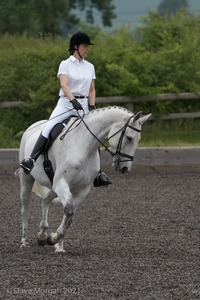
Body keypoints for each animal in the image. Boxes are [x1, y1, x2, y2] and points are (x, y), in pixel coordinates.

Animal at [18, 106, 151, 252]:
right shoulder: (61, 183)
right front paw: (53, 238)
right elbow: (68, 211)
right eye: (129, 137)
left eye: (138, 139)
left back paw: (42, 235)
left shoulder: (82, 189)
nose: (125, 168)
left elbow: (70, 217)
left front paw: (58, 245)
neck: (84, 145)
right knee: (25, 208)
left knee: (45, 200)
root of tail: (33, 126)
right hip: (28, 178)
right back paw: (24, 242)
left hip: (55, 187)